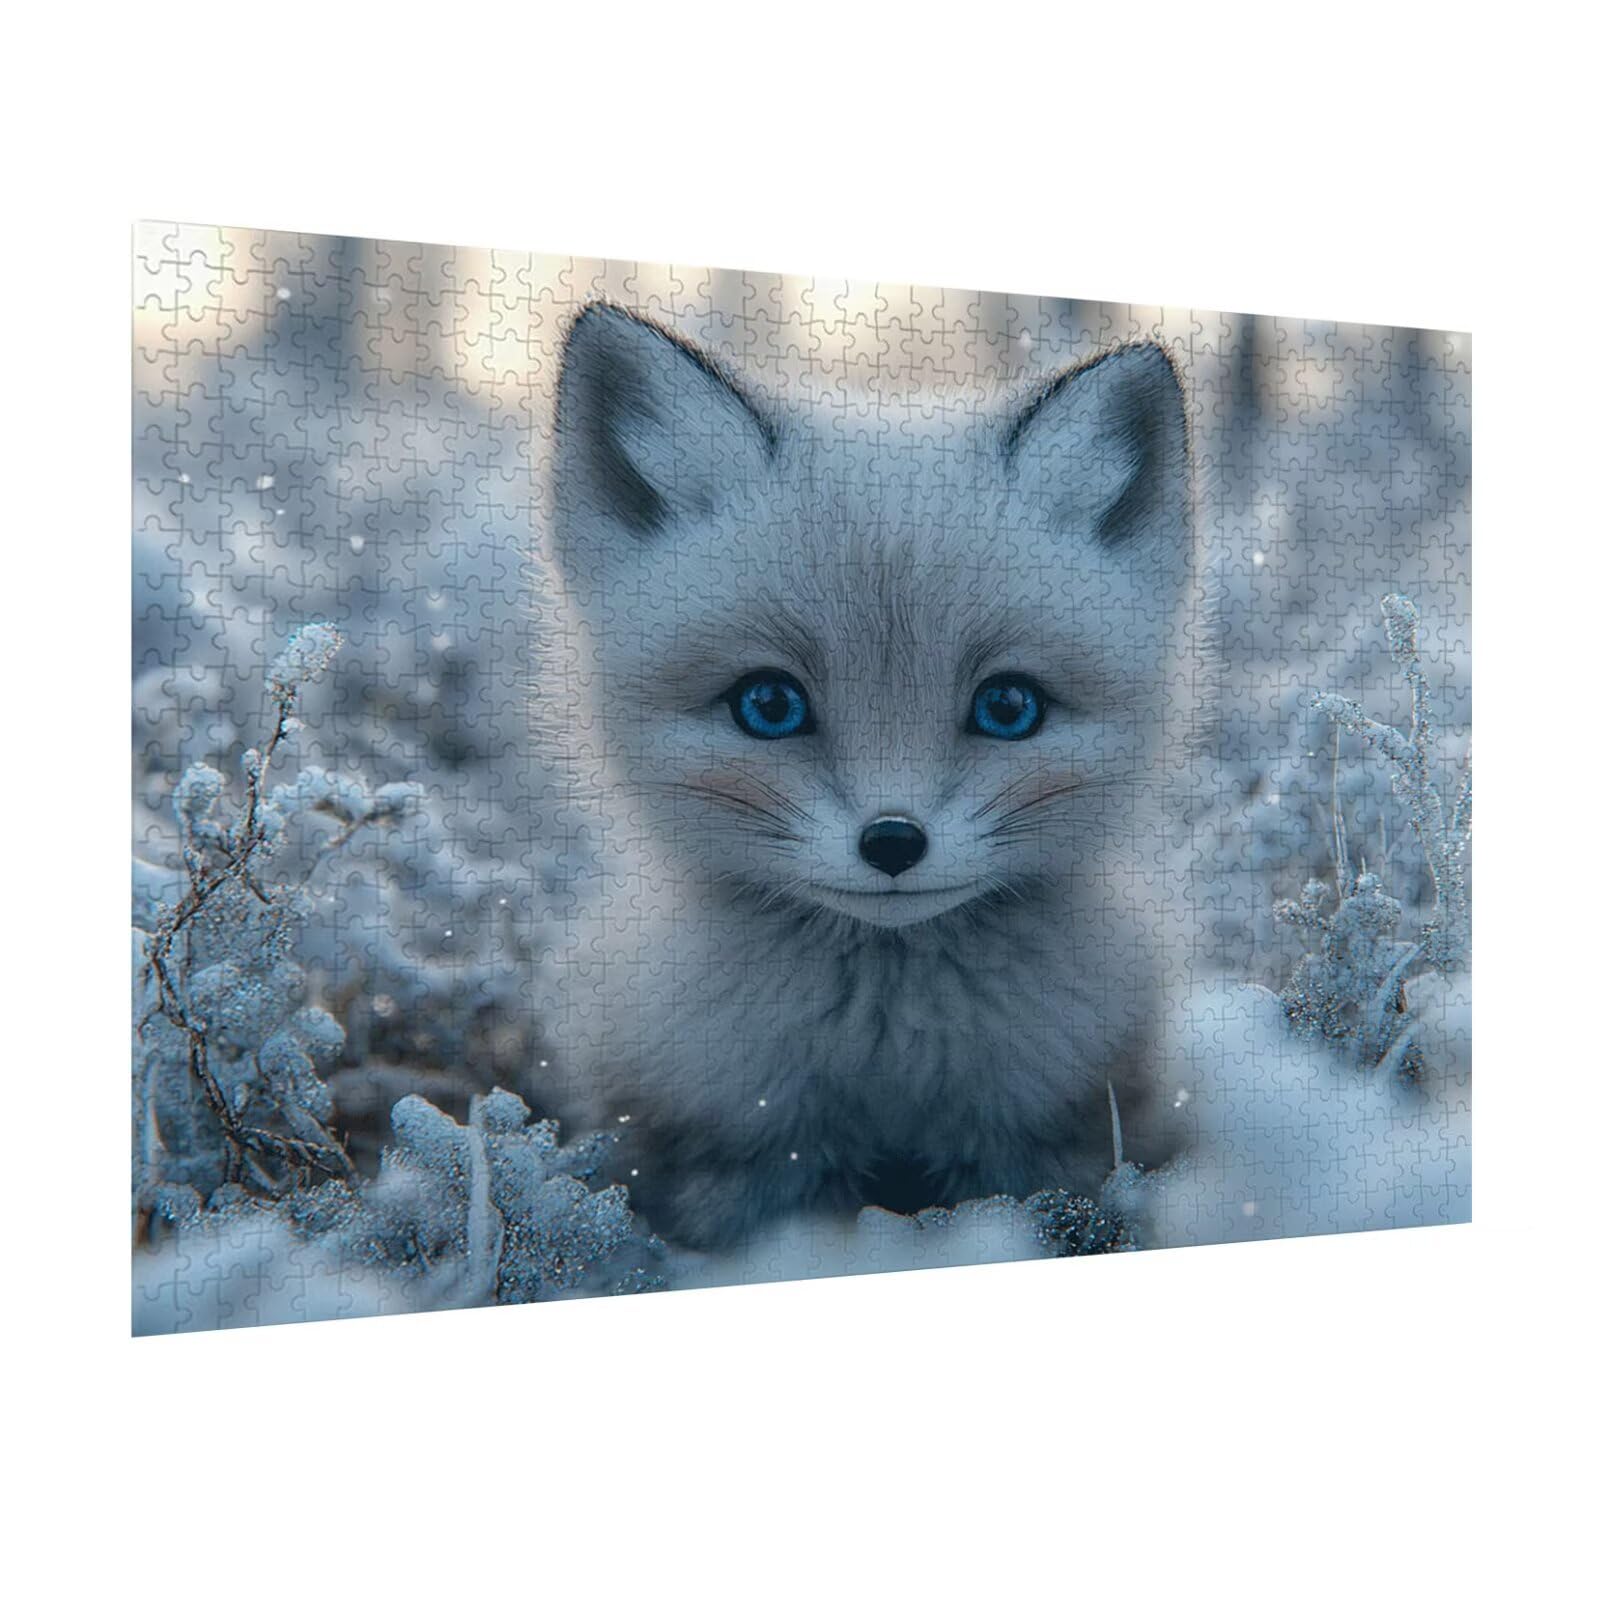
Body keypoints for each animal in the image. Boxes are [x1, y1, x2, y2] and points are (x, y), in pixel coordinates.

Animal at [537, 302, 1201, 1251]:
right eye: (769, 704)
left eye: (1009, 707)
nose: (892, 842)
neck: (884, 1050)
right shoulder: (727, 1154)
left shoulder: (1052, 1140)